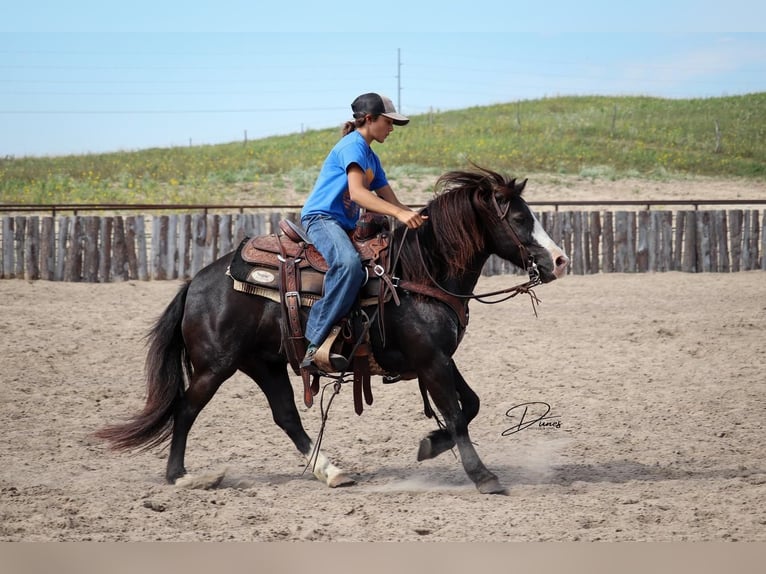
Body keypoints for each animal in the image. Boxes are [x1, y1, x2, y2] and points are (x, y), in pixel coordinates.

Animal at [97, 166, 568, 496]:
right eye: (519, 218)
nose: (561, 261)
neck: (421, 273)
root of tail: (195, 283)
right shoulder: (431, 360)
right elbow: (455, 413)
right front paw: (482, 476)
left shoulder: (439, 358)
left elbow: (470, 404)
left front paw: (430, 444)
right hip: (215, 366)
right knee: (186, 409)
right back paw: (180, 476)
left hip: (264, 363)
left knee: (286, 416)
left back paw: (330, 470)